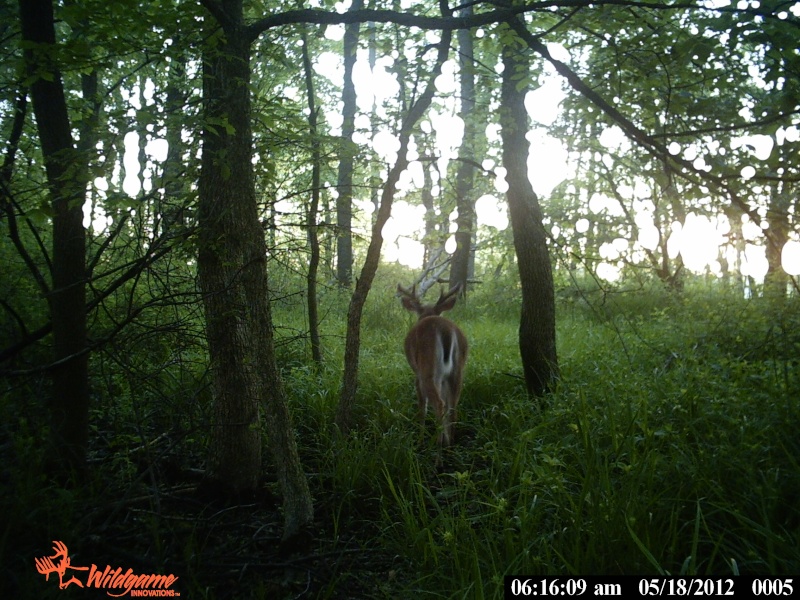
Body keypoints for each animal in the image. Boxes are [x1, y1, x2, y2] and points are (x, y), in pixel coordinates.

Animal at [396, 284, 466, 448]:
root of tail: (446, 331)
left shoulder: (417, 374)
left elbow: (423, 406)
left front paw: (420, 440)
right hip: (457, 372)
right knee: (452, 407)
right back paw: (450, 443)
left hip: (428, 369)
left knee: (439, 404)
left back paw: (438, 446)